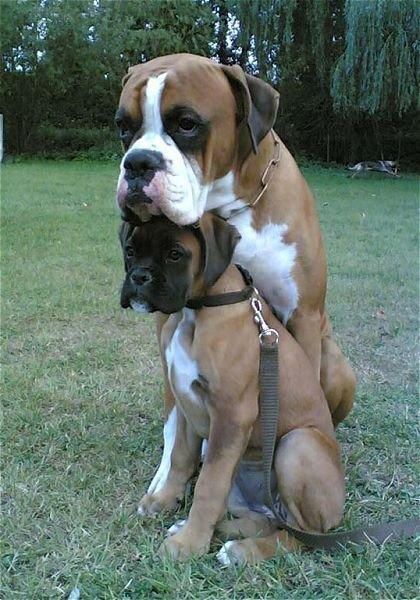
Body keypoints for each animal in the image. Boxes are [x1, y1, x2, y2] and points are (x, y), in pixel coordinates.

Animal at [114, 52, 354, 506]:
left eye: (186, 123)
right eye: (123, 126)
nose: (137, 162)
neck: (227, 212)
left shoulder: (302, 317)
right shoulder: (166, 322)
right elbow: (175, 417)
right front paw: (167, 476)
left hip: (338, 364)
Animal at [119, 214, 344, 564]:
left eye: (175, 254)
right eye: (130, 251)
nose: (139, 276)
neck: (195, 310)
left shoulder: (231, 415)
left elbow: (208, 485)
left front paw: (188, 545)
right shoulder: (187, 405)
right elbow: (181, 459)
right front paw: (165, 501)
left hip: (297, 444)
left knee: (301, 537)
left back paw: (241, 550)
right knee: (263, 519)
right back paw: (223, 531)